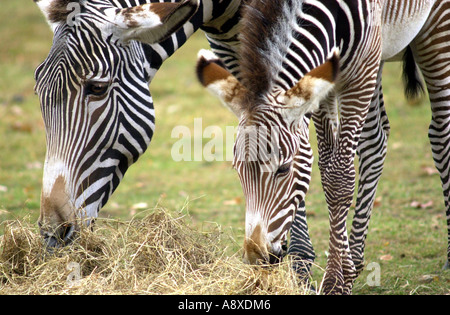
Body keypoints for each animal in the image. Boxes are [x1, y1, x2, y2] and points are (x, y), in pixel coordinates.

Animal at [197, 0, 450, 296]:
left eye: (283, 169)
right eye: (237, 170)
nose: (255, 258)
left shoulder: (360, 73)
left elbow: (338, 177)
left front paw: (336, 281)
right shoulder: (326, 75)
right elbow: (328, 166)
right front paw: (344, 271)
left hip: (435, 29)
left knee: (440, 135)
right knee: (376, 138)